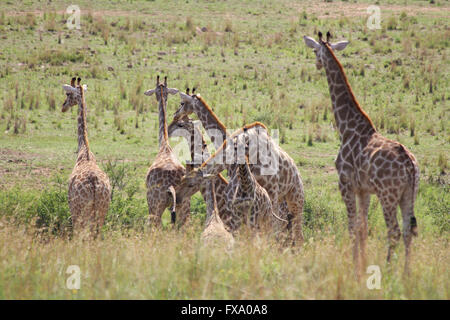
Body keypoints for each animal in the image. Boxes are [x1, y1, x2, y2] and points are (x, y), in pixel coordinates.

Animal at [60, 77, 110, 238]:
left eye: (68, 94)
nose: (63, 106)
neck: (84, 149)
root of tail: (94, 185)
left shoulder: (71, 205)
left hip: (81, 211)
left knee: (81, 234)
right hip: (102, 210)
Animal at [171, 91, 304, 244]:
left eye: (182, 103)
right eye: (182, 179)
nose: (175, 114)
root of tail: (297, 174)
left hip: (293, 198)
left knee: (293, 232)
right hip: (281, 201)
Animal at [304, 31, 420, 272]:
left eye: (315, 50)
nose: (317, 64)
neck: (346, 126)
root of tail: (410, 166)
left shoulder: (345, 183)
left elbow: (351, 226)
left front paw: (353, 264)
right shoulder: (364, 190)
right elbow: (363, 228)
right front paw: (362, 263)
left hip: (388, 195)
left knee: (394, 231)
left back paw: (388, 269)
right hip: (409, 193)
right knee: (408, 231)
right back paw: (406, 272)